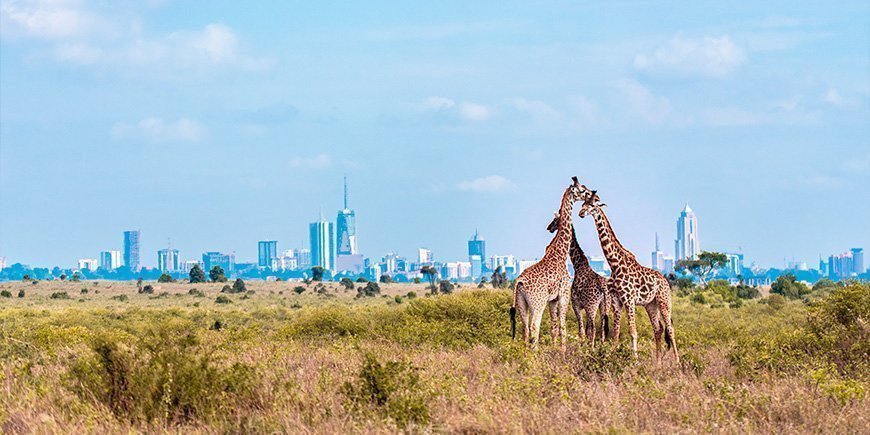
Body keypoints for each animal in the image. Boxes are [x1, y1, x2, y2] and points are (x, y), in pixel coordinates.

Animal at [508, 177, 596, 350]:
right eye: (582, 189)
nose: (593, 194)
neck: (560, 253)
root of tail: (519, 282)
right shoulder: (563, 295)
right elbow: (563, 328)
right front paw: (562, 353)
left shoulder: (552, 300)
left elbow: (553, 328)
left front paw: (555, 351)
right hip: (537, 302)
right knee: (534, 327)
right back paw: (534, 355)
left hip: (522, 303)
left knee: (525, 328)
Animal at [544, 211, 612, 348]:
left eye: (555, 220)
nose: (549, 228)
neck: (578, 266)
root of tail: (603, 288)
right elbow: (585, 329)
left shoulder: (576, 304)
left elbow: (582, 330)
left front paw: (583, 347)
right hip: (605, 305)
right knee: (602, 328)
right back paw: (601, 347)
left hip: (592, 306)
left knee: (594, 328)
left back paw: (592, 349)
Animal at [580, 198, 680, 364]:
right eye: (582, 204)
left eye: (592, 205)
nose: (581, 213)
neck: (614, 264)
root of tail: (666, 281)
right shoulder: (616, 301)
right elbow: (616, 331)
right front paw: (613, 356)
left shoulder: (629, 300)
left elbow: (633, 331)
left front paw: (635, 360)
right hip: (650, 304)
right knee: (658, 329)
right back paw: (658, 363)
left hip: (664, 301)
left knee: (670, 329)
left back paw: (677, 361)